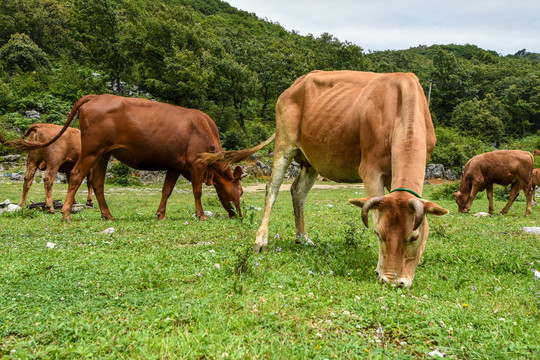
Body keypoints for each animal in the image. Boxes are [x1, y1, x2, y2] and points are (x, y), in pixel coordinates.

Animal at [9, 94, 274, 221]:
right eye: (240, 191)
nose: (239, 215)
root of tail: (95, 96)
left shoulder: (175, 165)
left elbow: (166, 190)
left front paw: (161, 214)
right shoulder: (197, 163)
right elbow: (197, 190)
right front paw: (200, 215)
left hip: (104, 154)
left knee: (98, 183)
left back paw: (107, 214)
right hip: (90, 151)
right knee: (74, 176)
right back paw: (64, 213)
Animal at [255, 71, 450, 290]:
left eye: (414, 236)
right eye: (378, 234)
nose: (394, 282)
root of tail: (296, 84)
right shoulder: (370, 171)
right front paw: (378, 269)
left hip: (313, 159)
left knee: (298, 192)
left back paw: (303, 238)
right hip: (284, 143)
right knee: (272, 189)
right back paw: (261, 240)